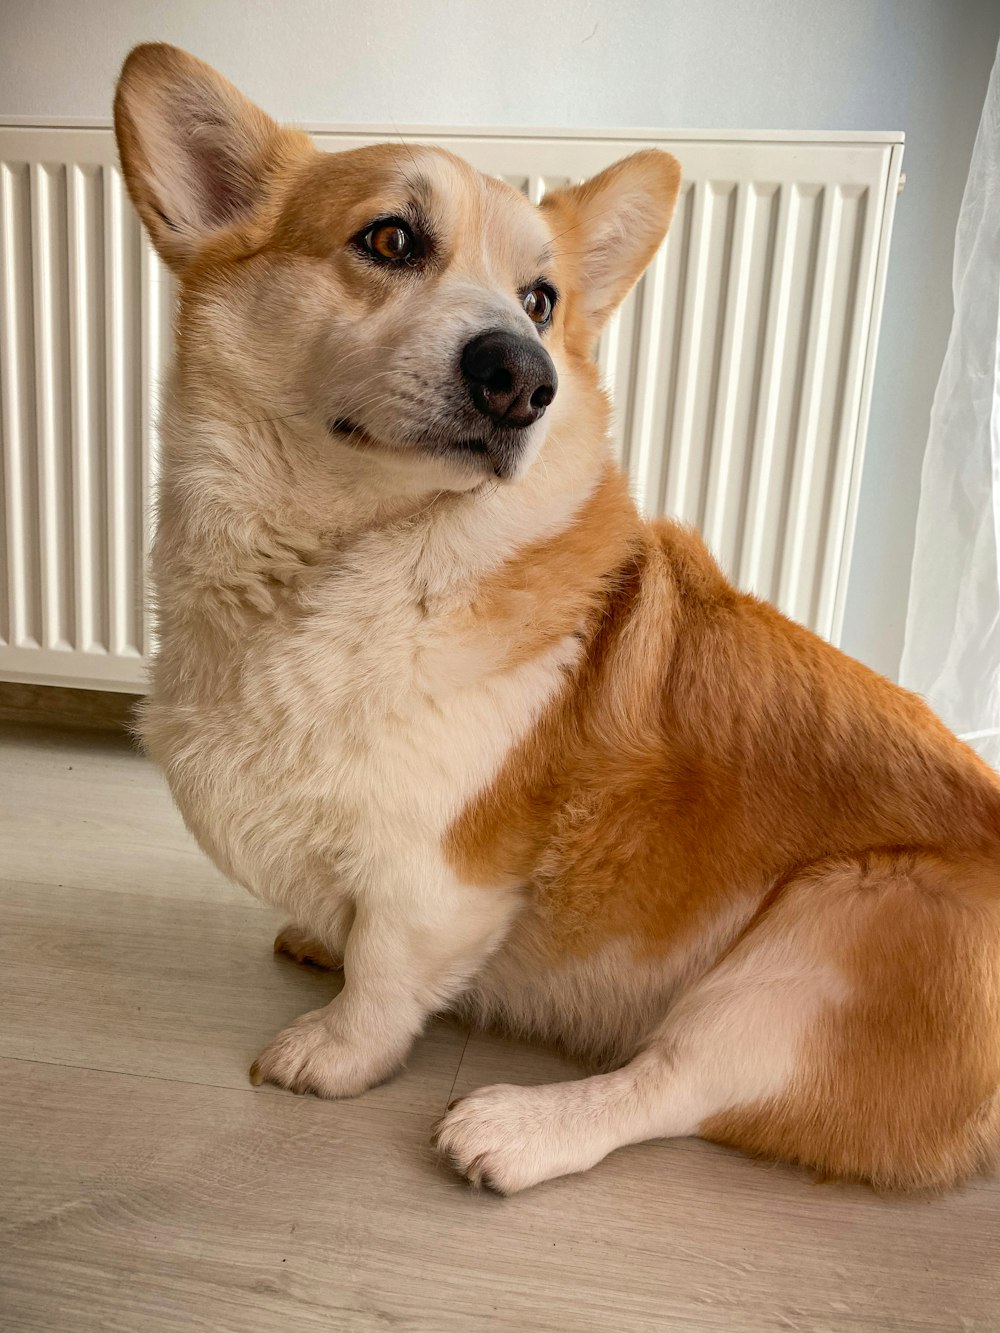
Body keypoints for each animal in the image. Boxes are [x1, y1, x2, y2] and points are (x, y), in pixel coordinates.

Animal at [113, 44, 1000, 1199]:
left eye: (541, 302)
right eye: (389, 238)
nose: (519, 379)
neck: (346, 559)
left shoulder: (440, 871)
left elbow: (385, 973)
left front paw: (332, 1050)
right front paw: (318, 938)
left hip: (832, 937)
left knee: (675, 1080)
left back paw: (515, 1126)